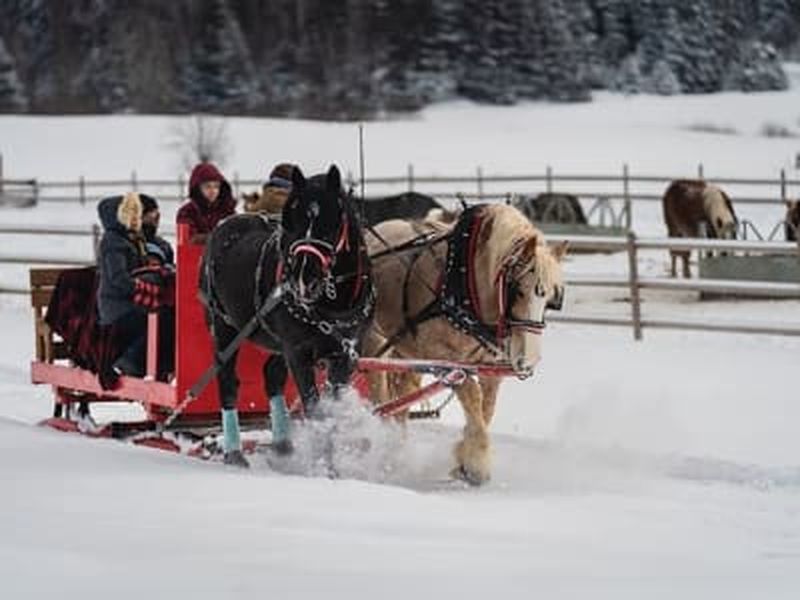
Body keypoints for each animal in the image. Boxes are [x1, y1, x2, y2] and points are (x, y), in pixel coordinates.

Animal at [201, 165, 374, 467]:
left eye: (332, 221)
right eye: (292, 220)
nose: (303, 277)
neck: (334, 303)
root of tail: (223, 225)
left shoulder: (347, 352)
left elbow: (332, 408)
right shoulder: (299, 352)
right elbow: (315, 408)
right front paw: (324, 465)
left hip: (277, 343)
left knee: (272, 376)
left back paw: (283, 446)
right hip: (225, 327)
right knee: (227, 381)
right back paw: (234, 452)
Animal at [363, 204, 566, 485]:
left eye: (550, 300)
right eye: (518, 290)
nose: (528, 362)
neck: (464, 285)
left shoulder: (490, 367)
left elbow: (487, 408)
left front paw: (464, 457)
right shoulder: (448, 362)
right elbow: (472, 396)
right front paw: (475, 465)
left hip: (406, 352)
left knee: (402, 398)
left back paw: (396, 449)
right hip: (375, 342)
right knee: (379, 395)